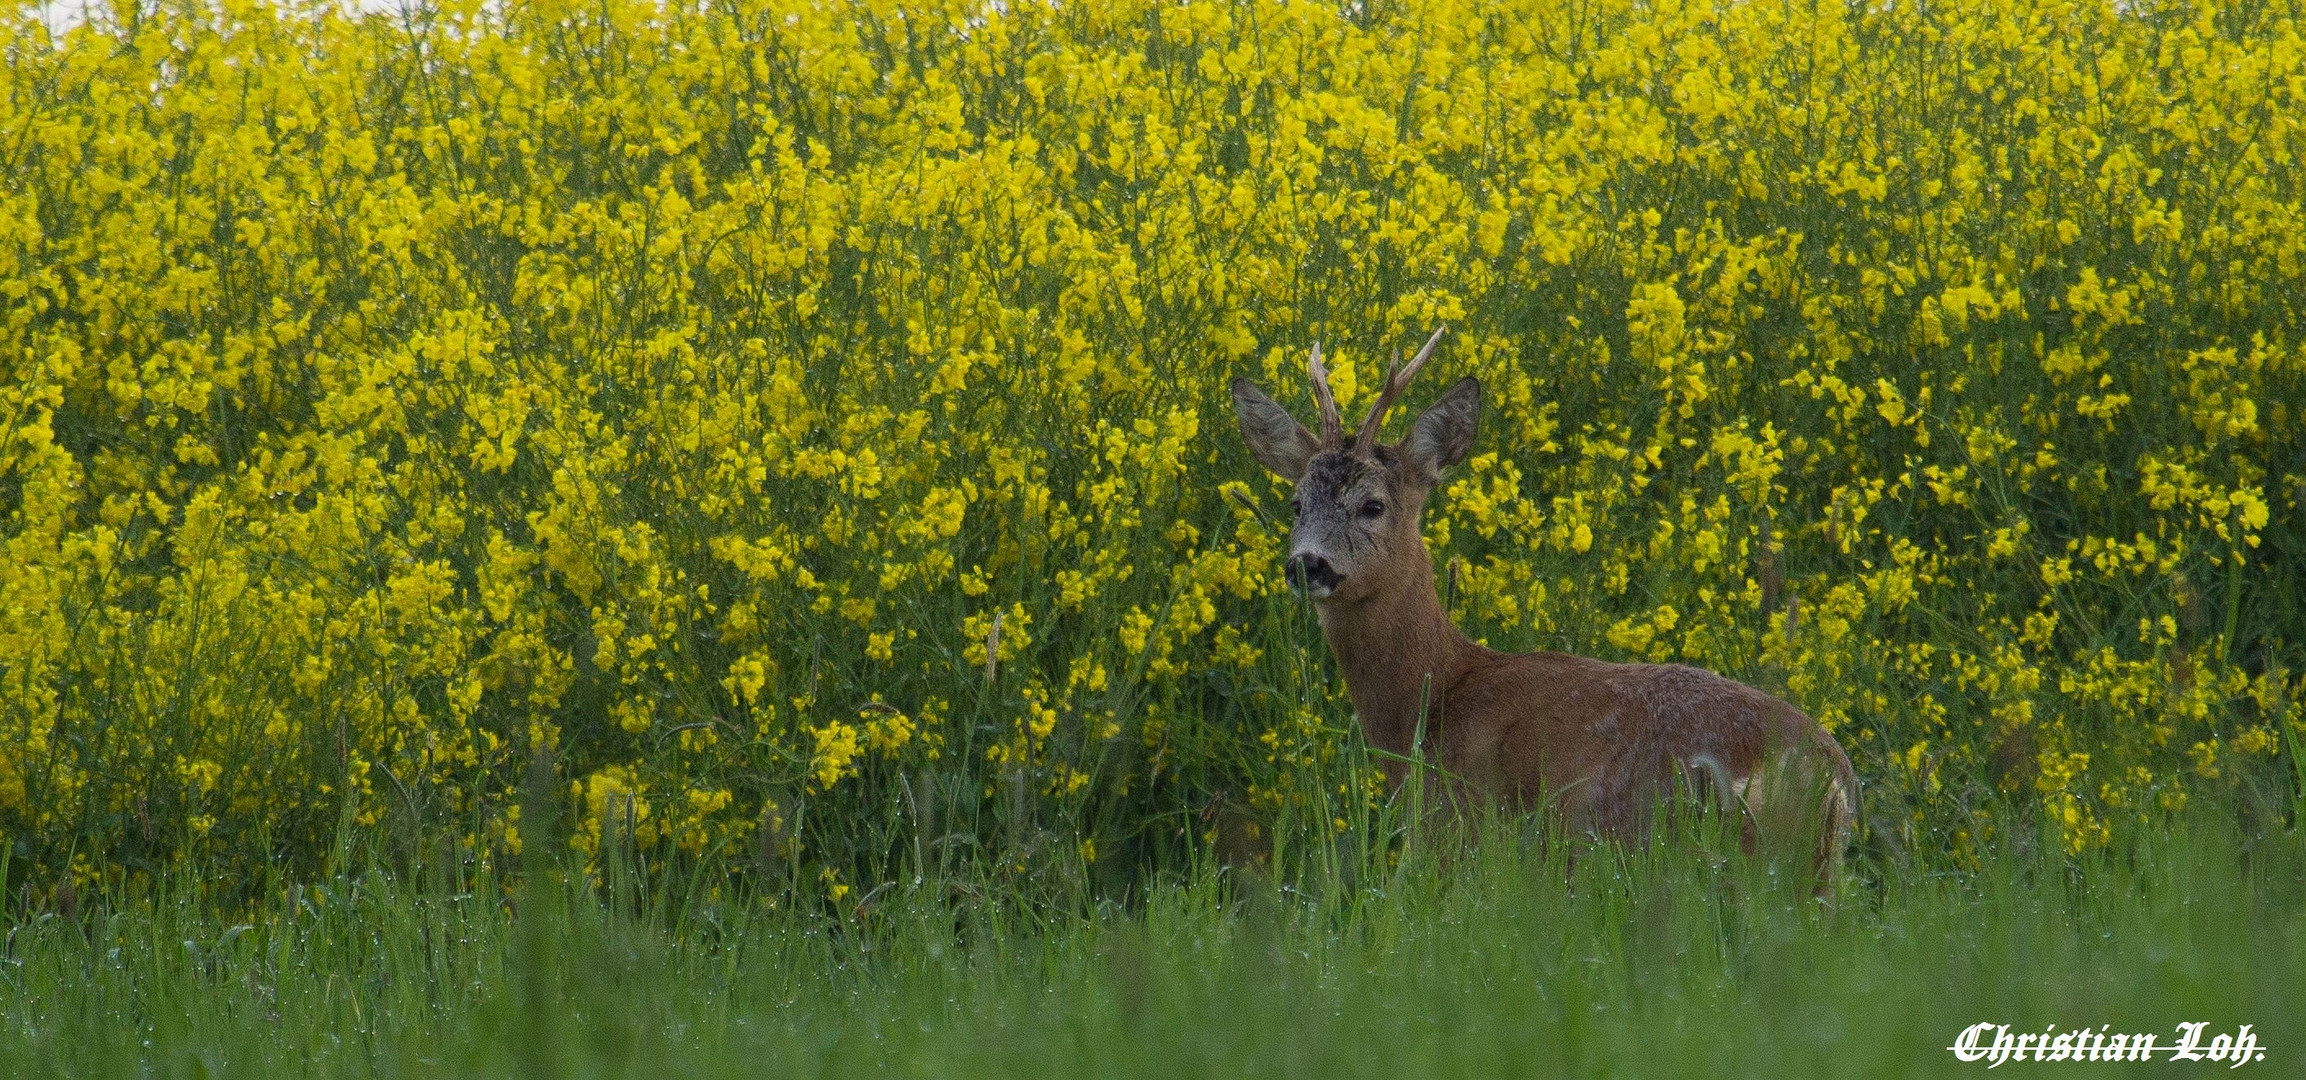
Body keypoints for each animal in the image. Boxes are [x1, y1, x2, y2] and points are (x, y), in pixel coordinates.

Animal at [1226, 332, 1854, 890]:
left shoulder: (1460, 829)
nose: (1308, 564)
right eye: (1296, 503)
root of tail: (1838, 780)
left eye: (1372, 505)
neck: (1432, 706)